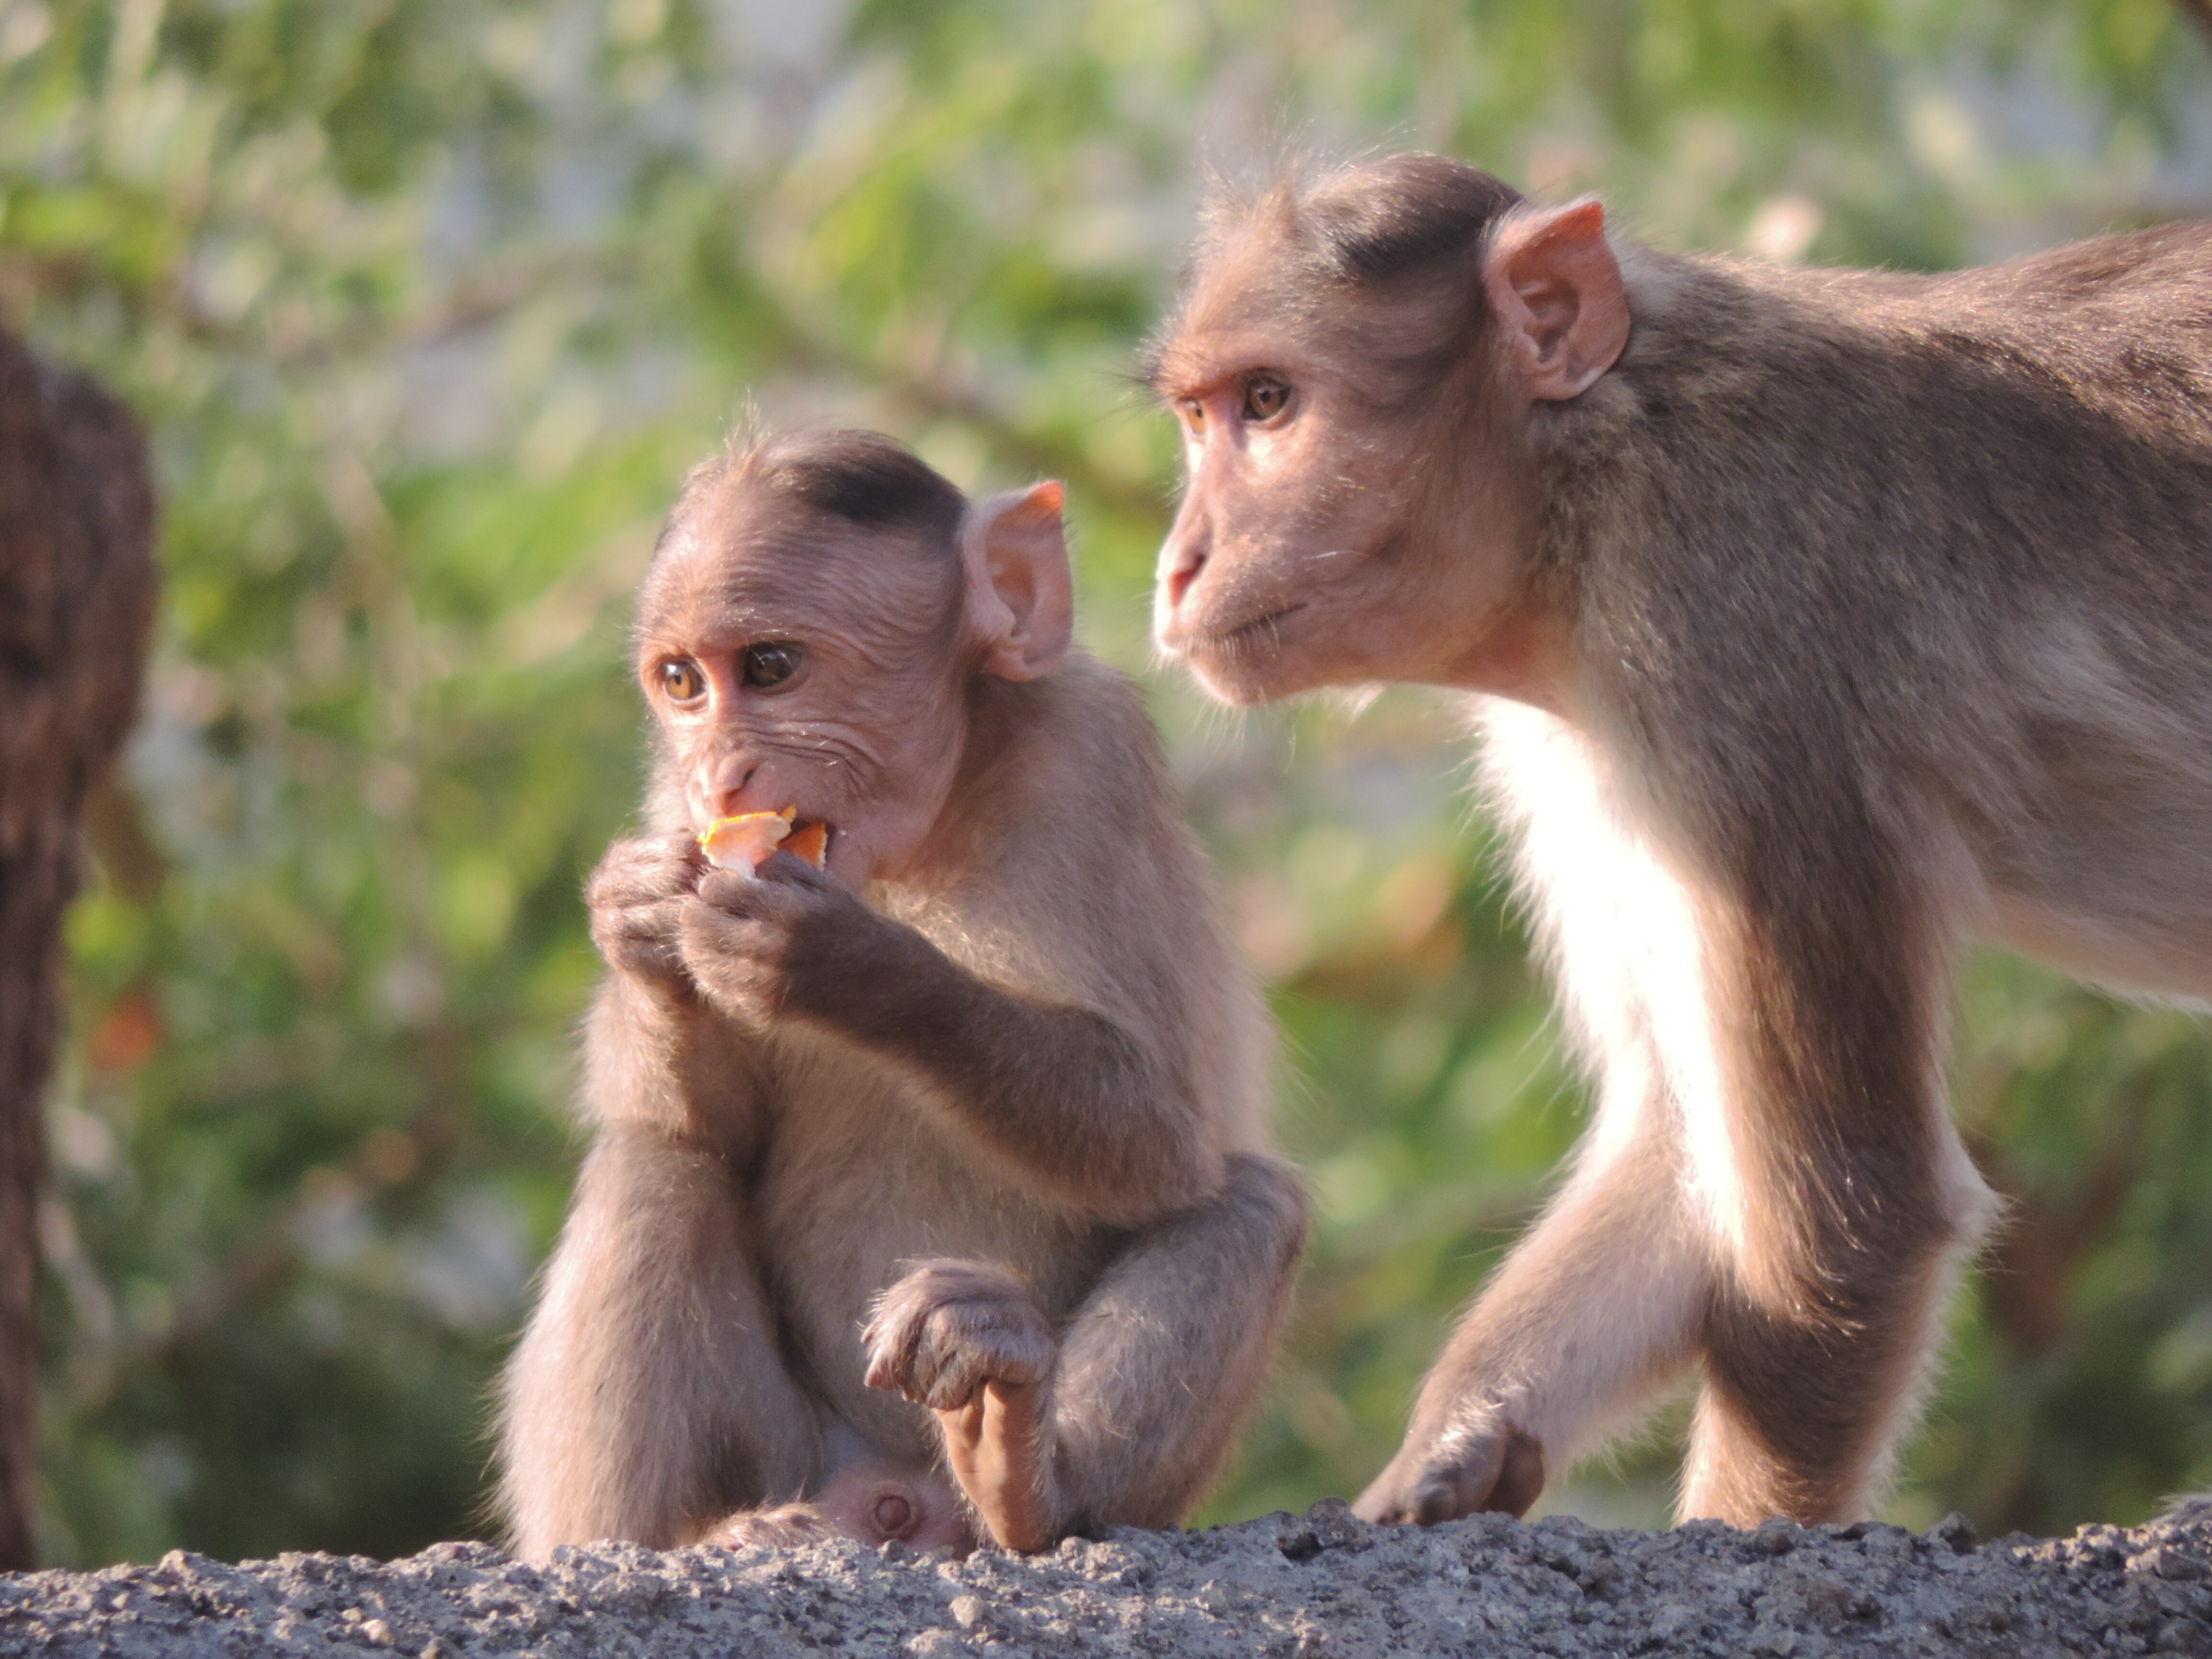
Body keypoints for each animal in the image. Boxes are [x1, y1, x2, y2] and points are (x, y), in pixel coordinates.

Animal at [502, 424, 1300, 1557]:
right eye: (682, 683)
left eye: (772, 667)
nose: (721, 773)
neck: (923, 828)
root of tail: (892, 1499)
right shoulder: (667, 799)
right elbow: (712, 1127)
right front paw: (638, 919)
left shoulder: (1093, 756)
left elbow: (1160, 1140)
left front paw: (845, 964)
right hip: (800, 1450)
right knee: (655, 1160)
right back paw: (679, 1539)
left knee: (1248, 1199)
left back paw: (1025, 1476)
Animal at [1141, 156, 2212, 1531]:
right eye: (1199, 414)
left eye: (1269, 405)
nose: (1178, 563)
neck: (1592, 468)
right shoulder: (1586, 740)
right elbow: (1676, 1154)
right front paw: (1448, 1453)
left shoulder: (1730, 635)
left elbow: (1850, 1219)